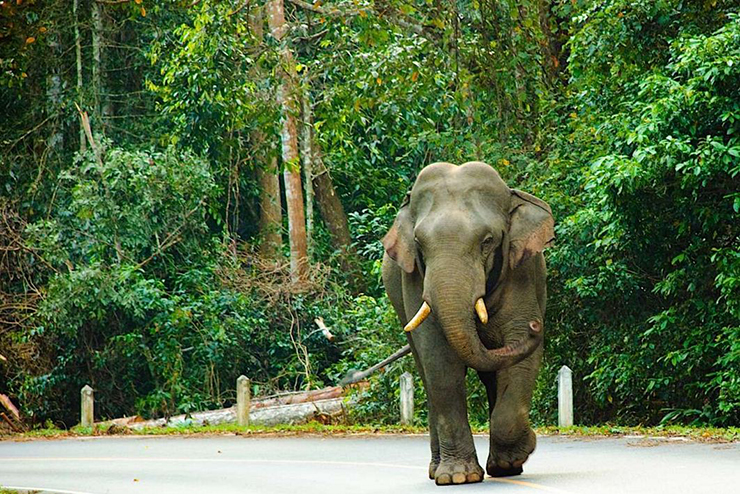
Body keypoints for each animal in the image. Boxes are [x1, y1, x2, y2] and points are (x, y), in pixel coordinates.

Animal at [384, 162, 552, 486]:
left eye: (487, 241)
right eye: (419, 243)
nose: (536, 326)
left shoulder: (522, 270)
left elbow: (519, 360)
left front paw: (522, 451)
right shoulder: (413, 281)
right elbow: (440, 362)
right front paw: (458, 477)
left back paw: (504, 467)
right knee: (428, 378)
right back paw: (437, 469)